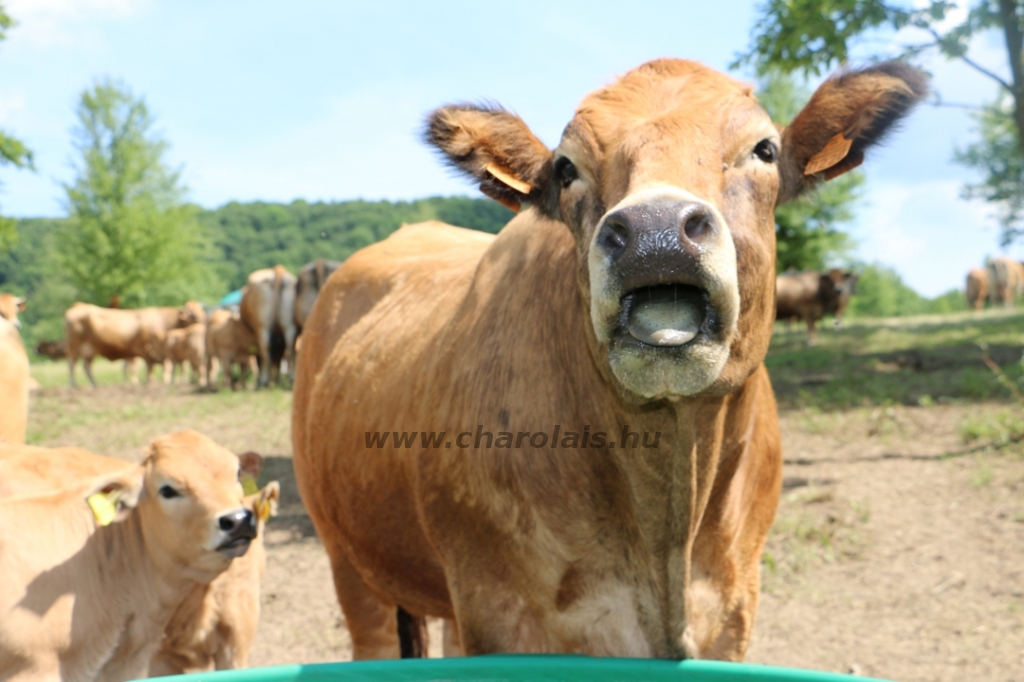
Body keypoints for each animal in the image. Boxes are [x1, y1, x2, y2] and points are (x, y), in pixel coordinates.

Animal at [64, 301, 205, 385]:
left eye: (201, 311)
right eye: (192, 315)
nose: (203, 320)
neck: (164, 321)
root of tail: (78, 305)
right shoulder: (147, 349)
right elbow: (149, 366)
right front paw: (150, 381)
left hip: (89, 351)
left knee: (86, 367)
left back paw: (94, 384)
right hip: (74, 346)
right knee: (71, 364)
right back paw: (73, 385)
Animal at [292, 59, 933, 659]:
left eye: (765, 149)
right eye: (565, 169)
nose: (656, 231)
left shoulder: (734, 608)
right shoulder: (499, 611)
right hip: (350, 560)